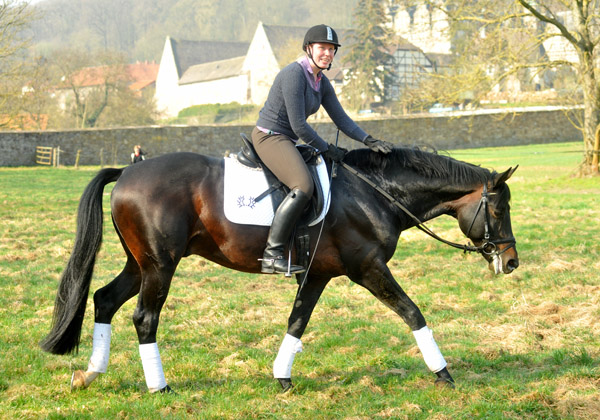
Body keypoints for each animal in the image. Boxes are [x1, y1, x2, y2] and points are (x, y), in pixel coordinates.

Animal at [39, 145, 516, 394]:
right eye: (498, 209)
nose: (511, 261)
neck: (374, 192)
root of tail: (128, 170)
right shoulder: (368, 268)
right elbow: (412, 312)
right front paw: (443, 372)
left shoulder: (319, 273)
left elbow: (297, 321)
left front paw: (282, 377)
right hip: (160, 266)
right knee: (144, 317)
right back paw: (159, 386)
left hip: (140, 264)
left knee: (105, 300)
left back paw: (91, 373)